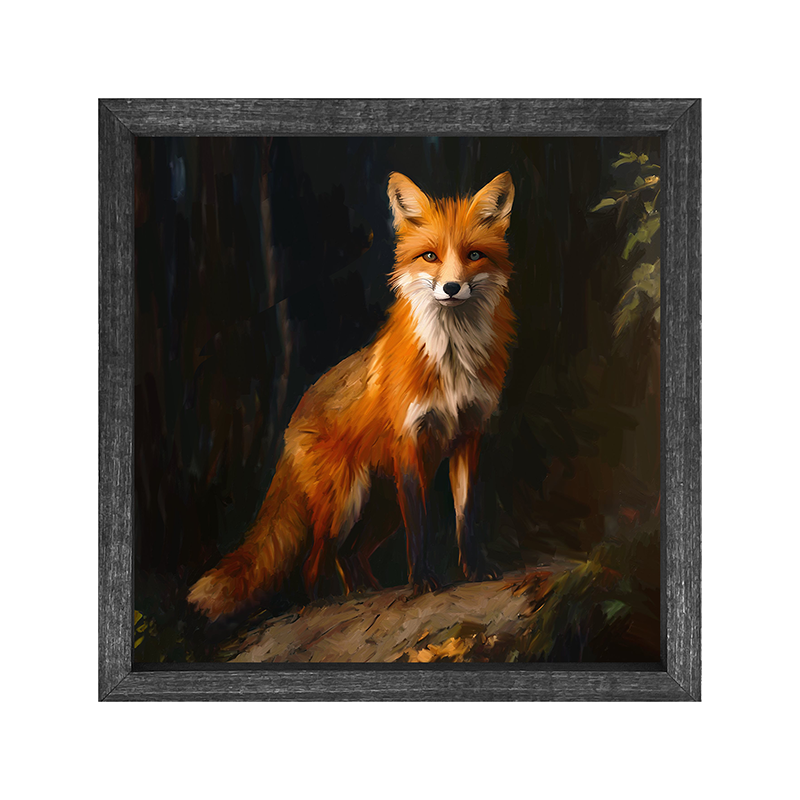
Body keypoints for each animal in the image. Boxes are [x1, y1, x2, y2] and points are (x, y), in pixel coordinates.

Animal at [188, 171, 517, 621]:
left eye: (474, 255)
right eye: (430, 256)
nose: (452, 287)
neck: (452, 359)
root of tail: (293, 419)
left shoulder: (469, 435)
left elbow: (466, 516)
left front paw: (475, 570)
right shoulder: (410, 443)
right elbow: (421, 528)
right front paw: (423, 582)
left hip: (381, 507)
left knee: (351, 556)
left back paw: (365, 593)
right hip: (346, 501)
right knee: (314, 563)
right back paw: (327, 602)